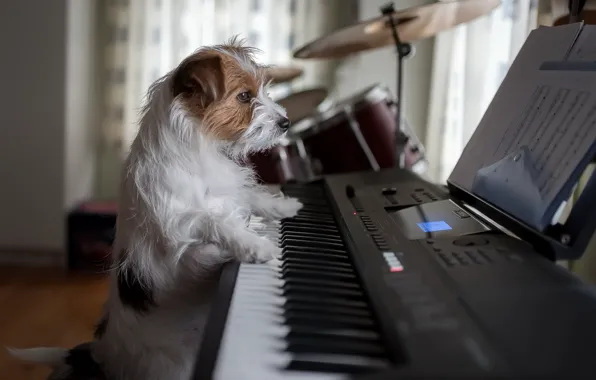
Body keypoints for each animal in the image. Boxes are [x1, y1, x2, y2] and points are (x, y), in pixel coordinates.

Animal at [10, 36, 302, 380]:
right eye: (244, 96)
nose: (286, 123)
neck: (198, 143)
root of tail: (100, 355)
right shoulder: (176, 222)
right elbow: (213, 221)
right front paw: (253, 244)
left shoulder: (229, 191)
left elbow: (249, 197)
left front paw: (283, 205)